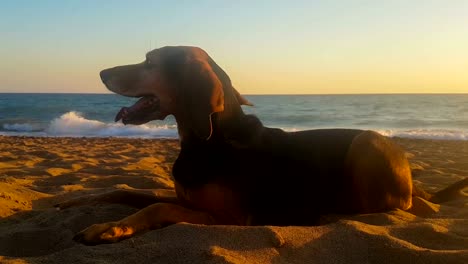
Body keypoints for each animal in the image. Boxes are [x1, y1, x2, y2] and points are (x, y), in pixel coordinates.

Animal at [59, 46, 468, 245]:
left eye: (149, 61)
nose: (101, 72)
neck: (210, 141)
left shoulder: (233, 218)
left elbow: (156, 206)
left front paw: (108, 229)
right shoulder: (185, 197)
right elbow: (126, 190)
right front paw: (78, 204)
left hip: (368, 142)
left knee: (396, 206)